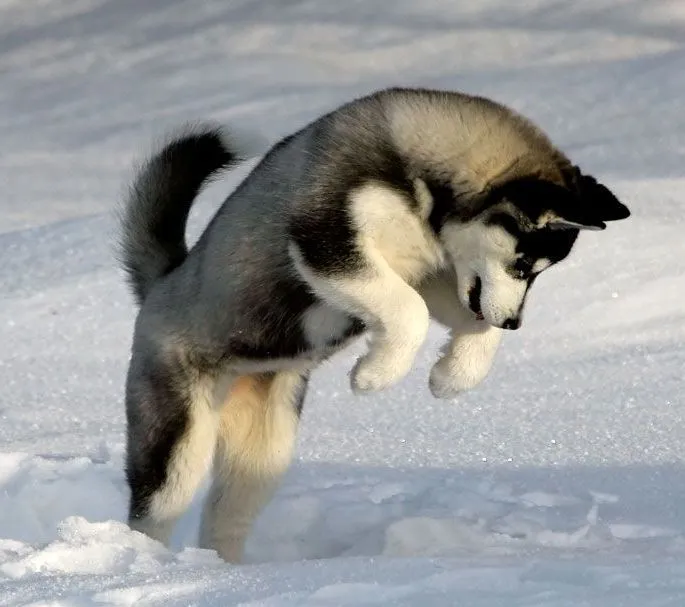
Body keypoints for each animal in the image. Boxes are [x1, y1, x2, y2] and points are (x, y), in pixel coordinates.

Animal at [119, 88, 632, 564]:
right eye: (525, 265)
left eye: (541, 271)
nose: (513, 323)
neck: (418, 177)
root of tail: (162, 284)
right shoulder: (327, 241)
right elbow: (409, 311)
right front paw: (375, 375)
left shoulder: (430, 274)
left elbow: (456, 316)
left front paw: (452, 376)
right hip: (178, 439)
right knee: (155, 511)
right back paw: (152, 566)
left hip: (264, 451)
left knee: (225, 519)